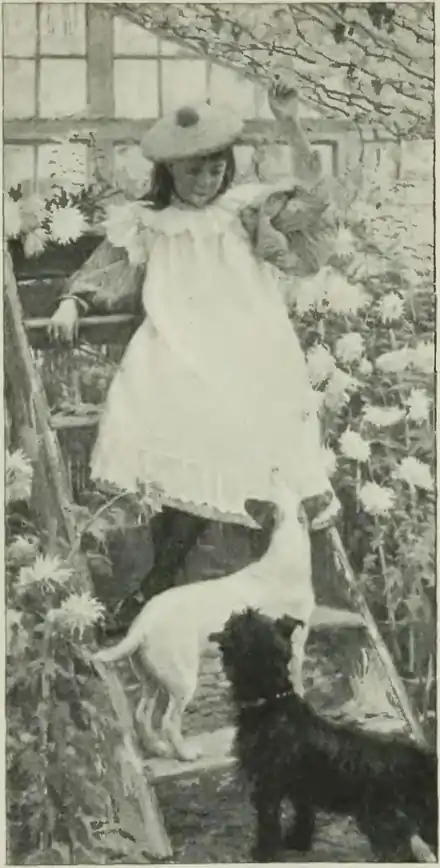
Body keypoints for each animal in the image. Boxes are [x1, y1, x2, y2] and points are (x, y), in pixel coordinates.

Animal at [92, 473, 315, 762]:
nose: (276, 468)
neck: (284, 551)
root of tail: (142, 625)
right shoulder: (296, 647)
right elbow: (297, 684)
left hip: (152, 680)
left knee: (142, 714)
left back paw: (158, 748)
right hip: (182, 681)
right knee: (168, 721)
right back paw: (185, 753)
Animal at [210, 608, 438, 863]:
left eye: (237, 624)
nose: (229, 618)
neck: (273, 701)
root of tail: (423, 759)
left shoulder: (267, 784)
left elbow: (267, 820)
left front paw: (263, 852)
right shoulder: (301, 790)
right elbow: (304, 816)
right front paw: (298, 842)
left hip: (384, 823)